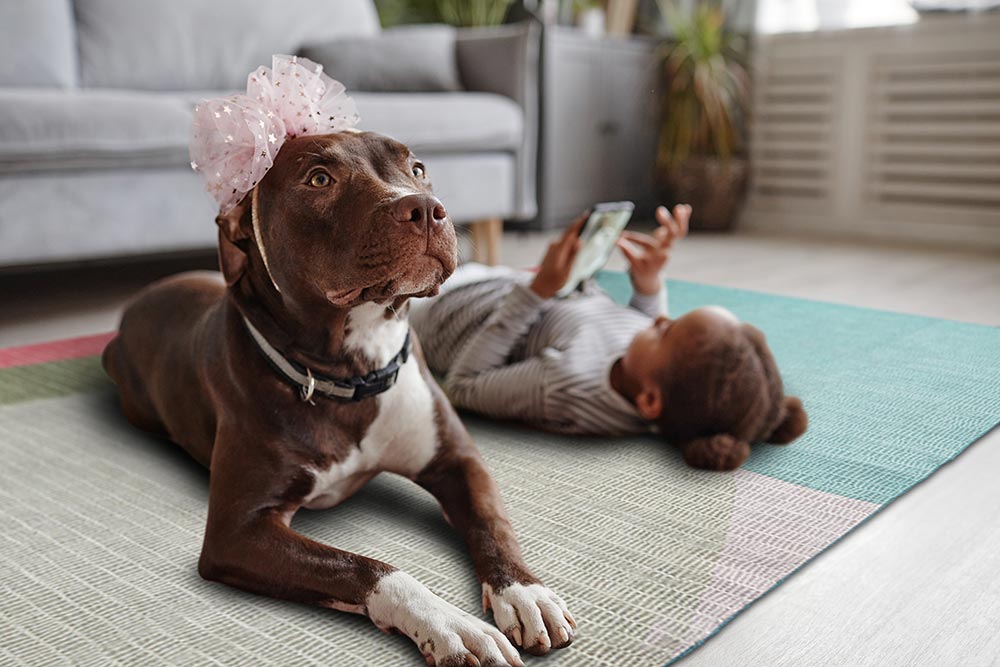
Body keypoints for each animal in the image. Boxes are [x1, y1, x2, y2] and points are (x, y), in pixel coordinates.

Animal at [104, 132, 576, 667]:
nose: (426, 208)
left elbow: (492, 522)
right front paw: (452, 625)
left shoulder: (458, 460)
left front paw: (523, 591)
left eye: (417, 168)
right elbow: (368, 568)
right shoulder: (238, 532)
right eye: (319, 179)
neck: (357, 370)